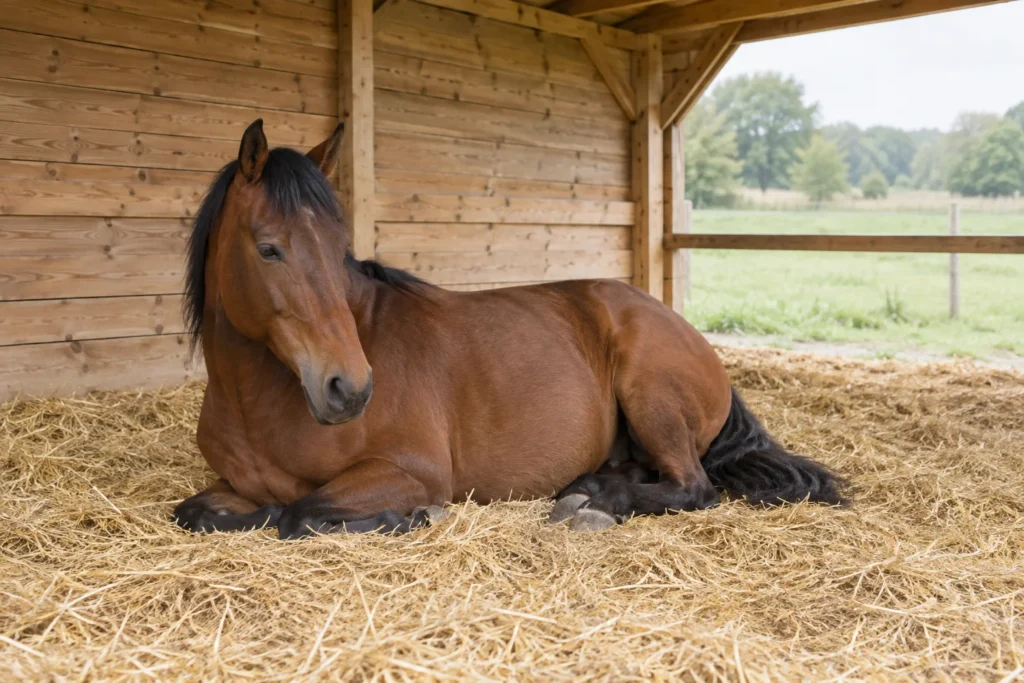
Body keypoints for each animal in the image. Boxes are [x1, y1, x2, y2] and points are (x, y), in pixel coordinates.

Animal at [172, 119, 845, 540]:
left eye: (341, 250)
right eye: (269, 249)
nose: (351, 388)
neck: (259, 402)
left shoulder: (411, 471)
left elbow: (298, 513)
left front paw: (411, 519)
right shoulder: (228, 486)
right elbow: (198, 512)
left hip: (650, 394)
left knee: (693, 488)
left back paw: (595, 507)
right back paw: (587, 489)